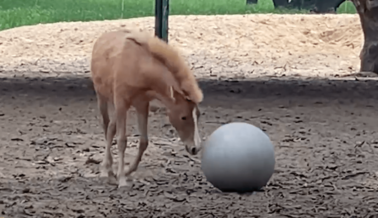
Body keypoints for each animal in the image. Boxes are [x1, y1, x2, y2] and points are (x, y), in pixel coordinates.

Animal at [90, 29, 204, 187]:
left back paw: (111, 171)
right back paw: (105, 171)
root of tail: (102, 37)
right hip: (103, 98)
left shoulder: (141, 105)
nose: (195, 148)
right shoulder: (121, 104)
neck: (138, 66)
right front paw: (122, 180)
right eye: (183, 117)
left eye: (198, 114)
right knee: (106, 127)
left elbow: (143, 141)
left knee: (111, 129)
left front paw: (125, 172)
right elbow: (122, 140)